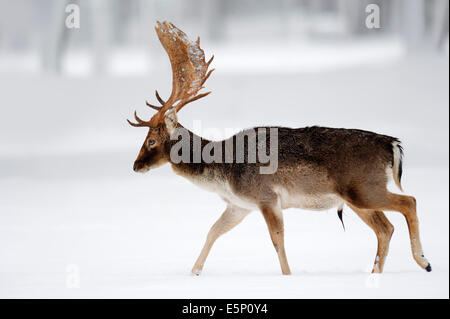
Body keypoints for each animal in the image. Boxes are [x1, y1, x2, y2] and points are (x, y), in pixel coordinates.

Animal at [128, 21, 430, 276]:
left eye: (151, 140)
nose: (135, 165)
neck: (222, 171)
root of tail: (391, 144)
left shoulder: (266, 197)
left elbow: (277, 239)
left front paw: (287, 276)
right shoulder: (239, 205)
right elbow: (213, 231)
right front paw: (194, 273)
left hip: (363, 188)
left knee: (409, 202)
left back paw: (423, 261)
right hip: (357, 197)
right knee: (385, 228)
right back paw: (378, 272)